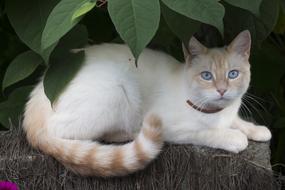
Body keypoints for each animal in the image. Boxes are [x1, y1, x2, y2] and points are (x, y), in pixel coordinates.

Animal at [22, 30, 270, 177]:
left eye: (233, 74)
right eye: (206, 76)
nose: (221, 90)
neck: (215, 112)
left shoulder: (230, 112)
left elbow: (239, 121)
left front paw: (257, 130)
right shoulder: (172, 128)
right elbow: (206, 133)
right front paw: (233, 137)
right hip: (115, 90)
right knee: (67, 133)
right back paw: (128, 133)